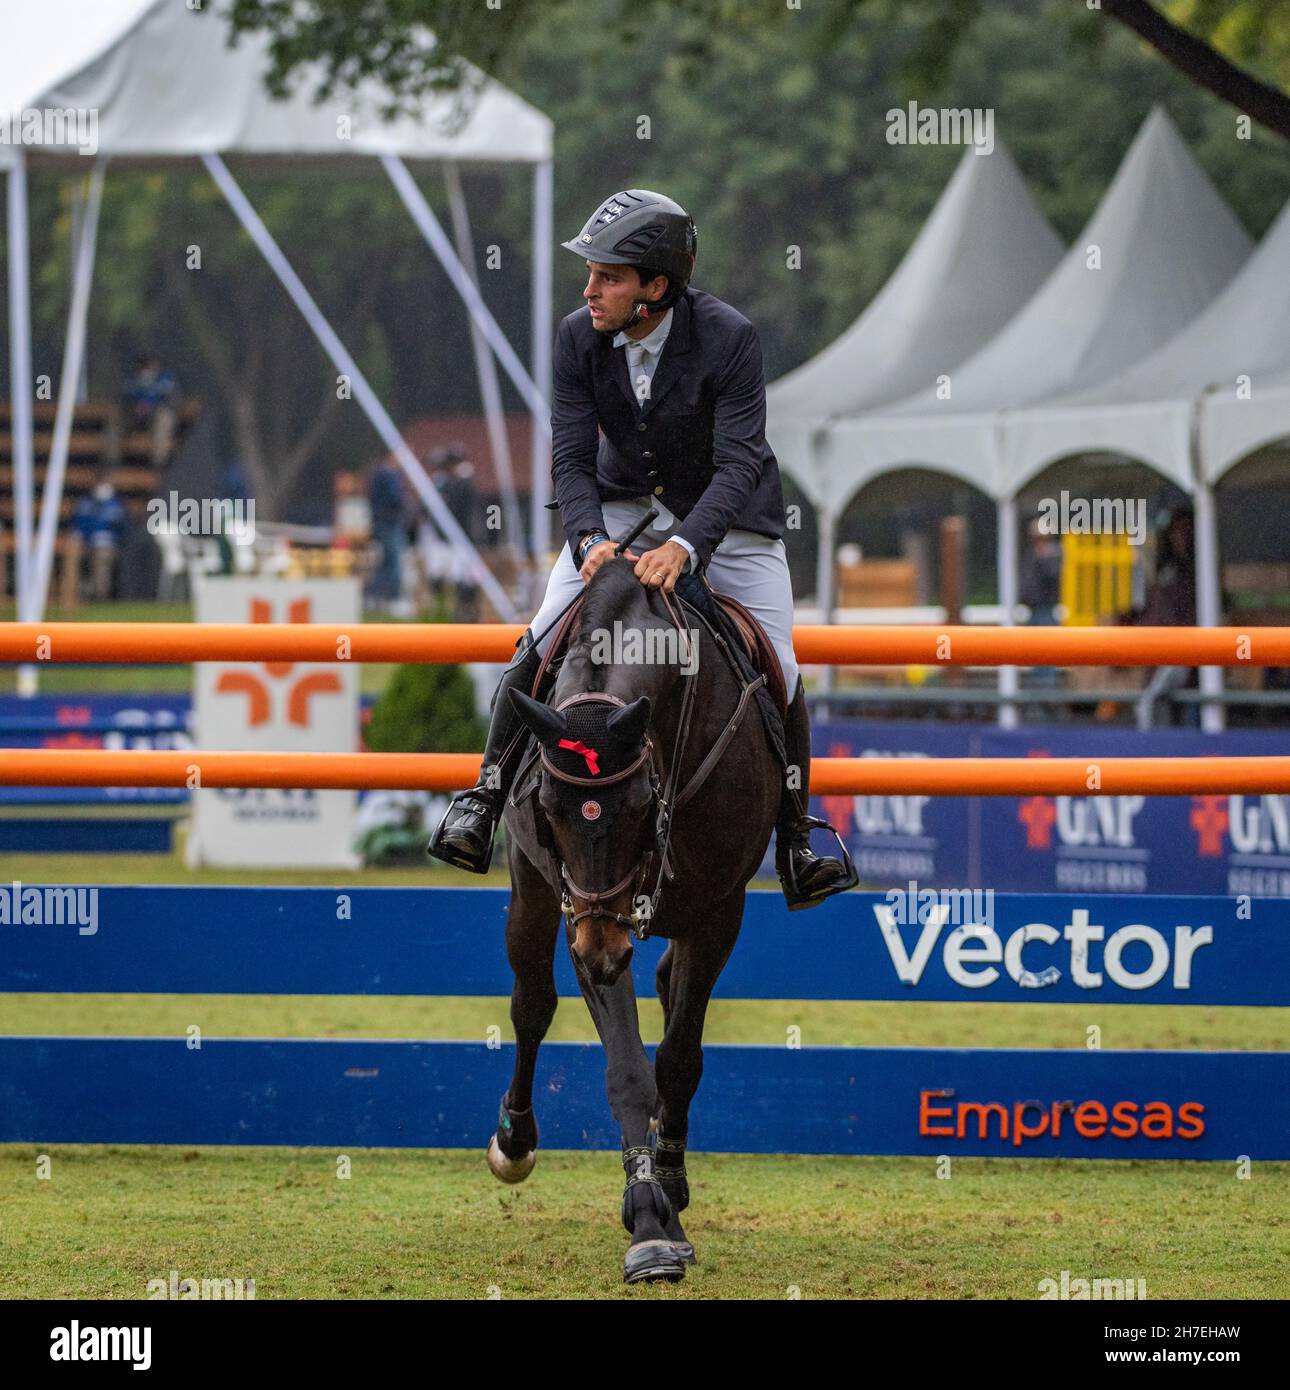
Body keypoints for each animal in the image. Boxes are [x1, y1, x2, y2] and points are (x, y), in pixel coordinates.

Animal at [489, 553, 778, 1278]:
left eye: (642, 804)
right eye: (550, 806)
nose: (602, 952)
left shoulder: (717, 913)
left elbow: (677, 1058)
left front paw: (667, 1190)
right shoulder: (582, 912)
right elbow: (628, 1069)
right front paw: (648, 1220)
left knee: (670, 990)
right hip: (533, 893)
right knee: (531, 1005)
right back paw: (515, 1140)